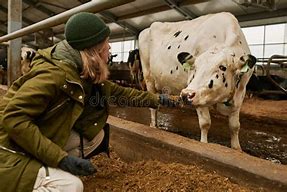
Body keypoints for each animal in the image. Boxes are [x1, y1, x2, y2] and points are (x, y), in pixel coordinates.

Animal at [140, 11, 256, 150]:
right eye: (194, 67)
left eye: (222, 67)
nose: (186, 95)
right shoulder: (198, 95)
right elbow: (205, 123)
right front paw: (203, 143)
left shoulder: (240, 94)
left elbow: (235, 126)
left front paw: (237, 148)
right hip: (149, 79)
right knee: (152, 105)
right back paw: (153, 125)